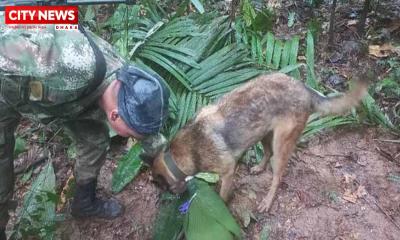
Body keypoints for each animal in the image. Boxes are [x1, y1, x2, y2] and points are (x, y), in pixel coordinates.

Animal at [148, 72, 368, 212]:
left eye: (163, 188)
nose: (172, 200)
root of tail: (305, 89)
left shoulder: (228, 171)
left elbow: (222, 195)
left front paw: (221, 206)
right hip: (264, 133)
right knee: (267, 153)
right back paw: (259, 168)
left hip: (281, 144)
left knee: (277, 175)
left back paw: (267, 201)